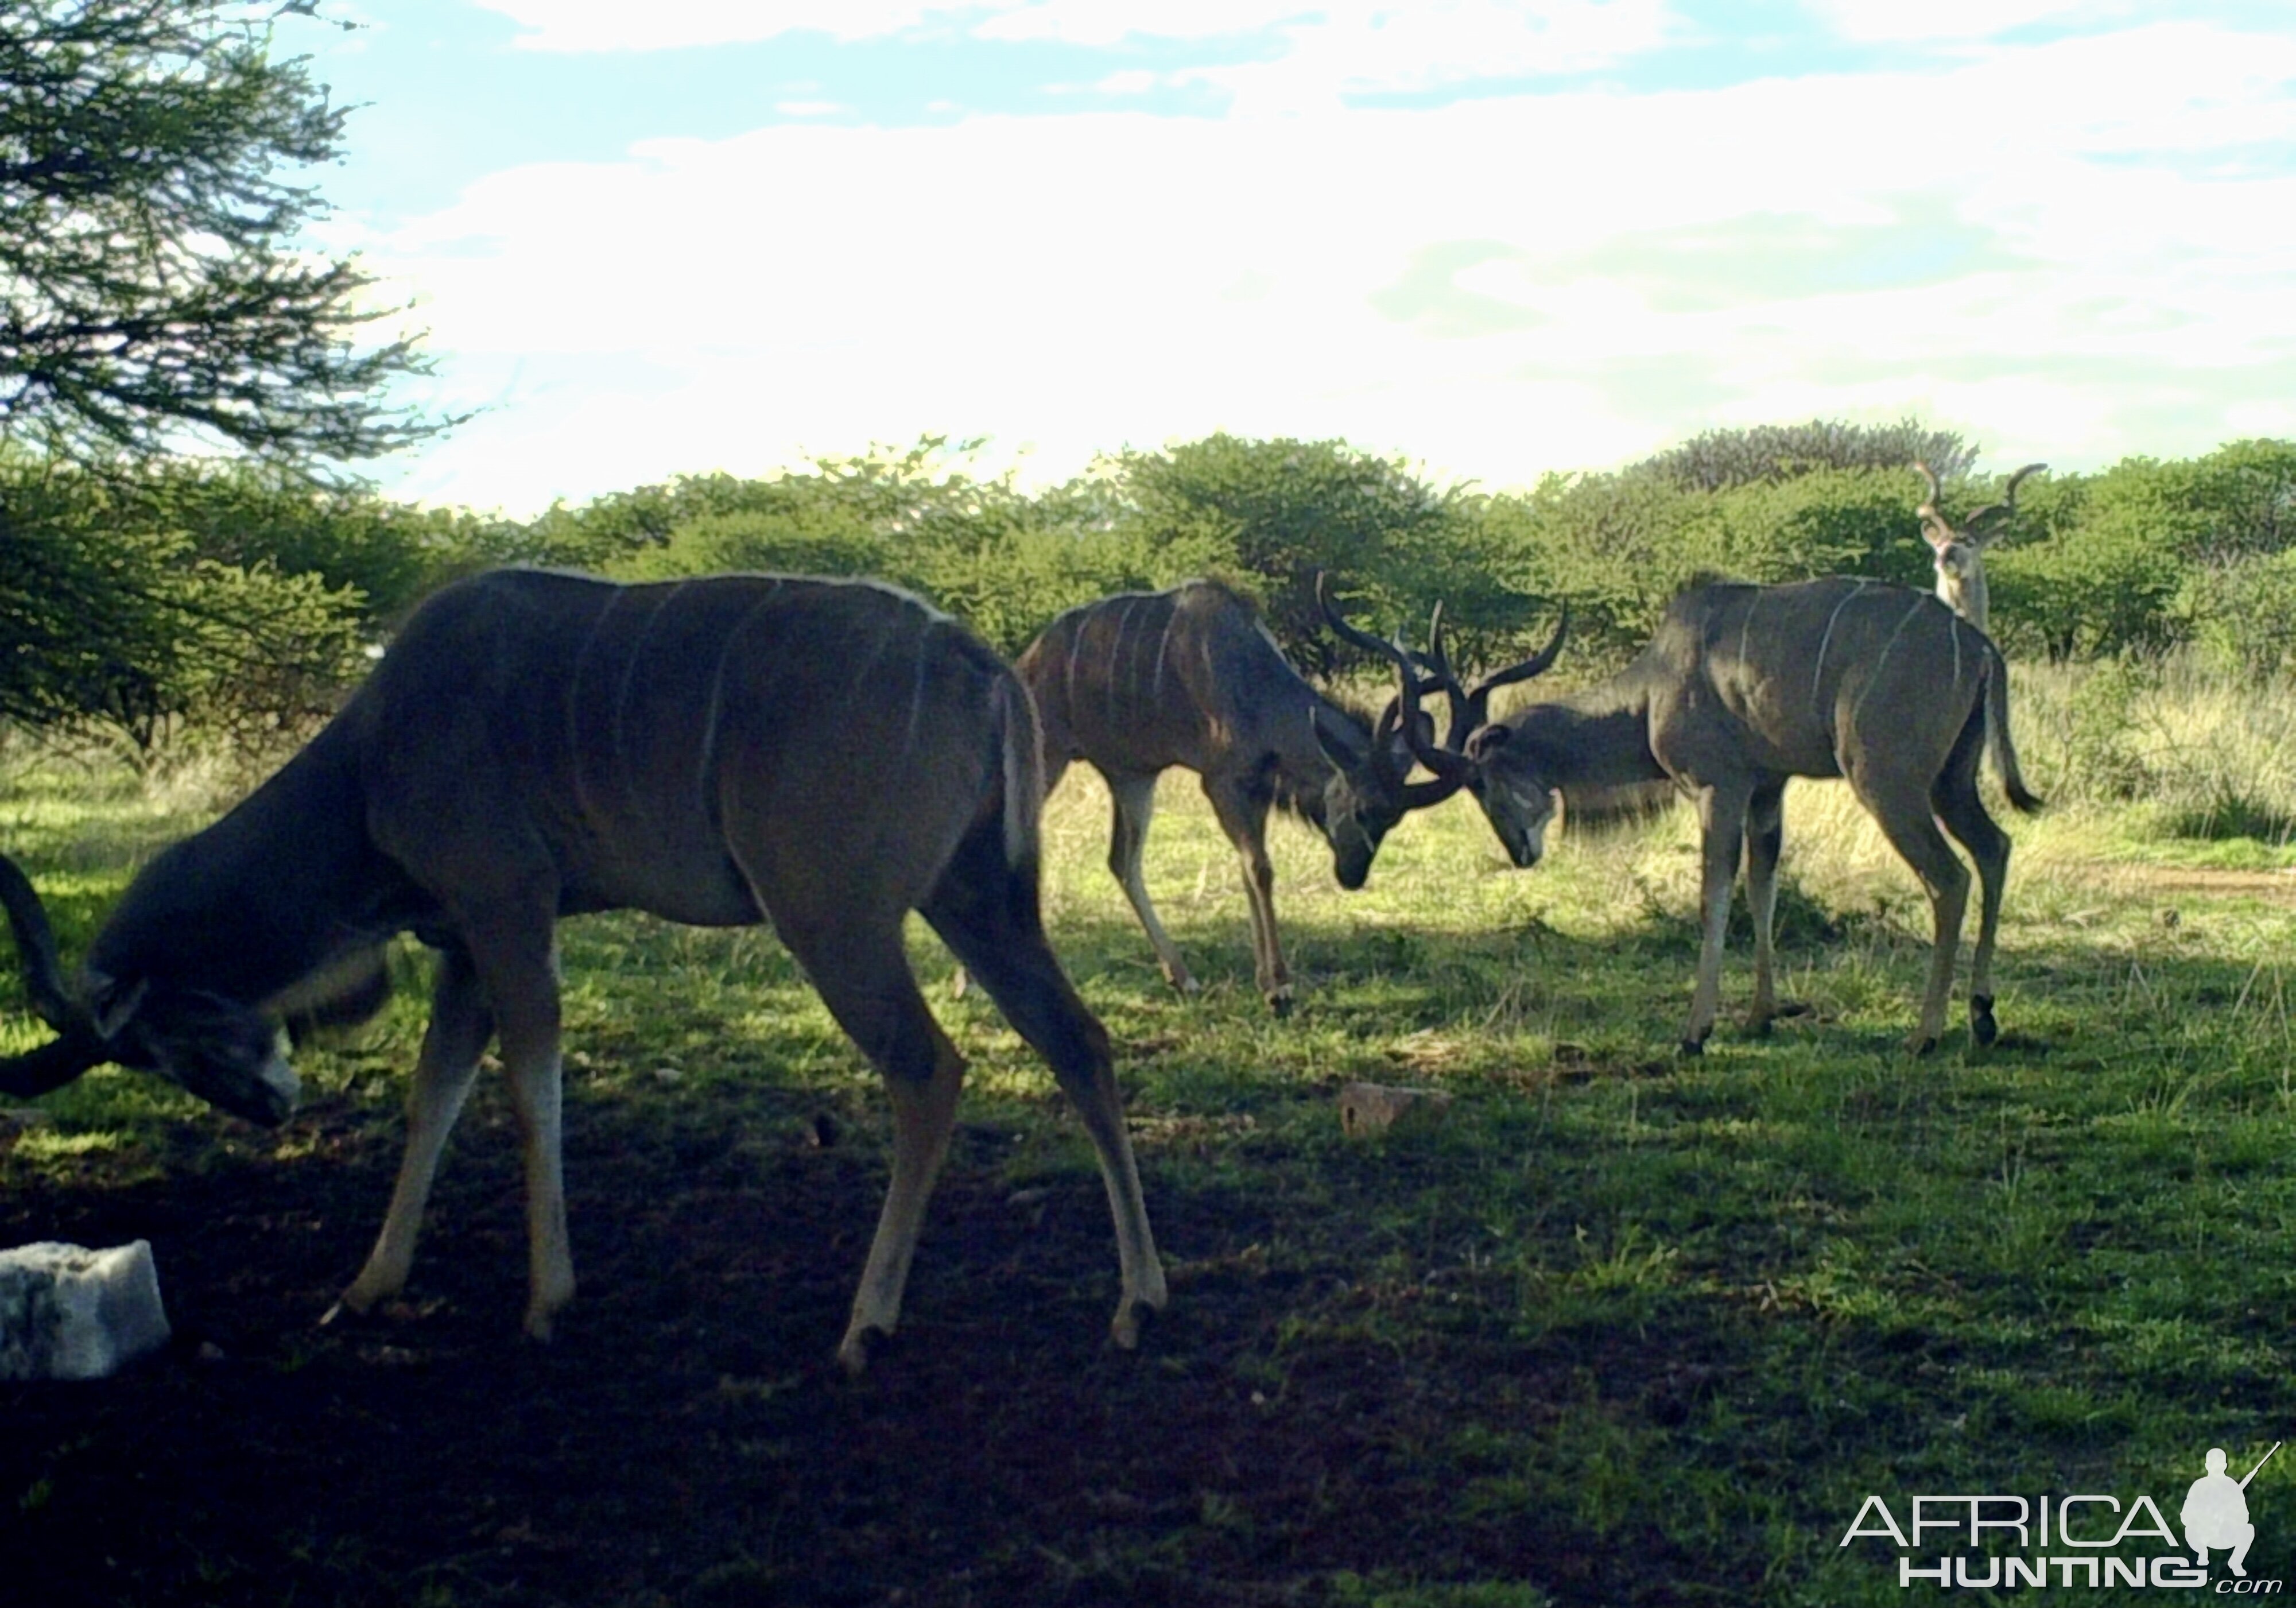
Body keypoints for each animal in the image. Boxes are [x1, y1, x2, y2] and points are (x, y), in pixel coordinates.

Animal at [0, 565, 1166, 1369]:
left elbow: (529, 1087)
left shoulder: (508, 907)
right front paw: (368, 1287)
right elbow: (433, 1096)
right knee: (1080, 1041)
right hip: (975, 900)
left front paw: (546, 1302)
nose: (271, 1108)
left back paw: (866, 1324)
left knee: (930, 1069)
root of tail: (982, 664)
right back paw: (1137, 1300)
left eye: (167, 1044)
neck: (369, 760)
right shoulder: (463, 942)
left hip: (835, 918)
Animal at [1024, 572, 1451, 1010]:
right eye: (1364, 809)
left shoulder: (1255, 789)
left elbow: (1250, 868)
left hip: (1132, 776)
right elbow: (1261, 868)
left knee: (1122, 860)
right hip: (1050, 757)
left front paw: (1266, 981)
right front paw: (1280, 988)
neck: (1252, 684)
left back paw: (1183, 978)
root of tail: (1032, 658)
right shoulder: (1221, 783)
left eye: (1393, 820)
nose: (1352, 875)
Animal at [1341, 579, 2048, 1056]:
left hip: (1888, 781)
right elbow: (1762, 886)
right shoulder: (1767, 790)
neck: (1652, 688)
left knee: (1949, 877)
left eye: (1481, 782)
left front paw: (1695, 1030)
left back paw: (1927, 1034)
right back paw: (1982, 1014)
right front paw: (1761, 1016)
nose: (1521, 852)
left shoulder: (1718, 787)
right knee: (1996, 847)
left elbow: (1715, 892)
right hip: (1951, 781)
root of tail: (1981, 648)